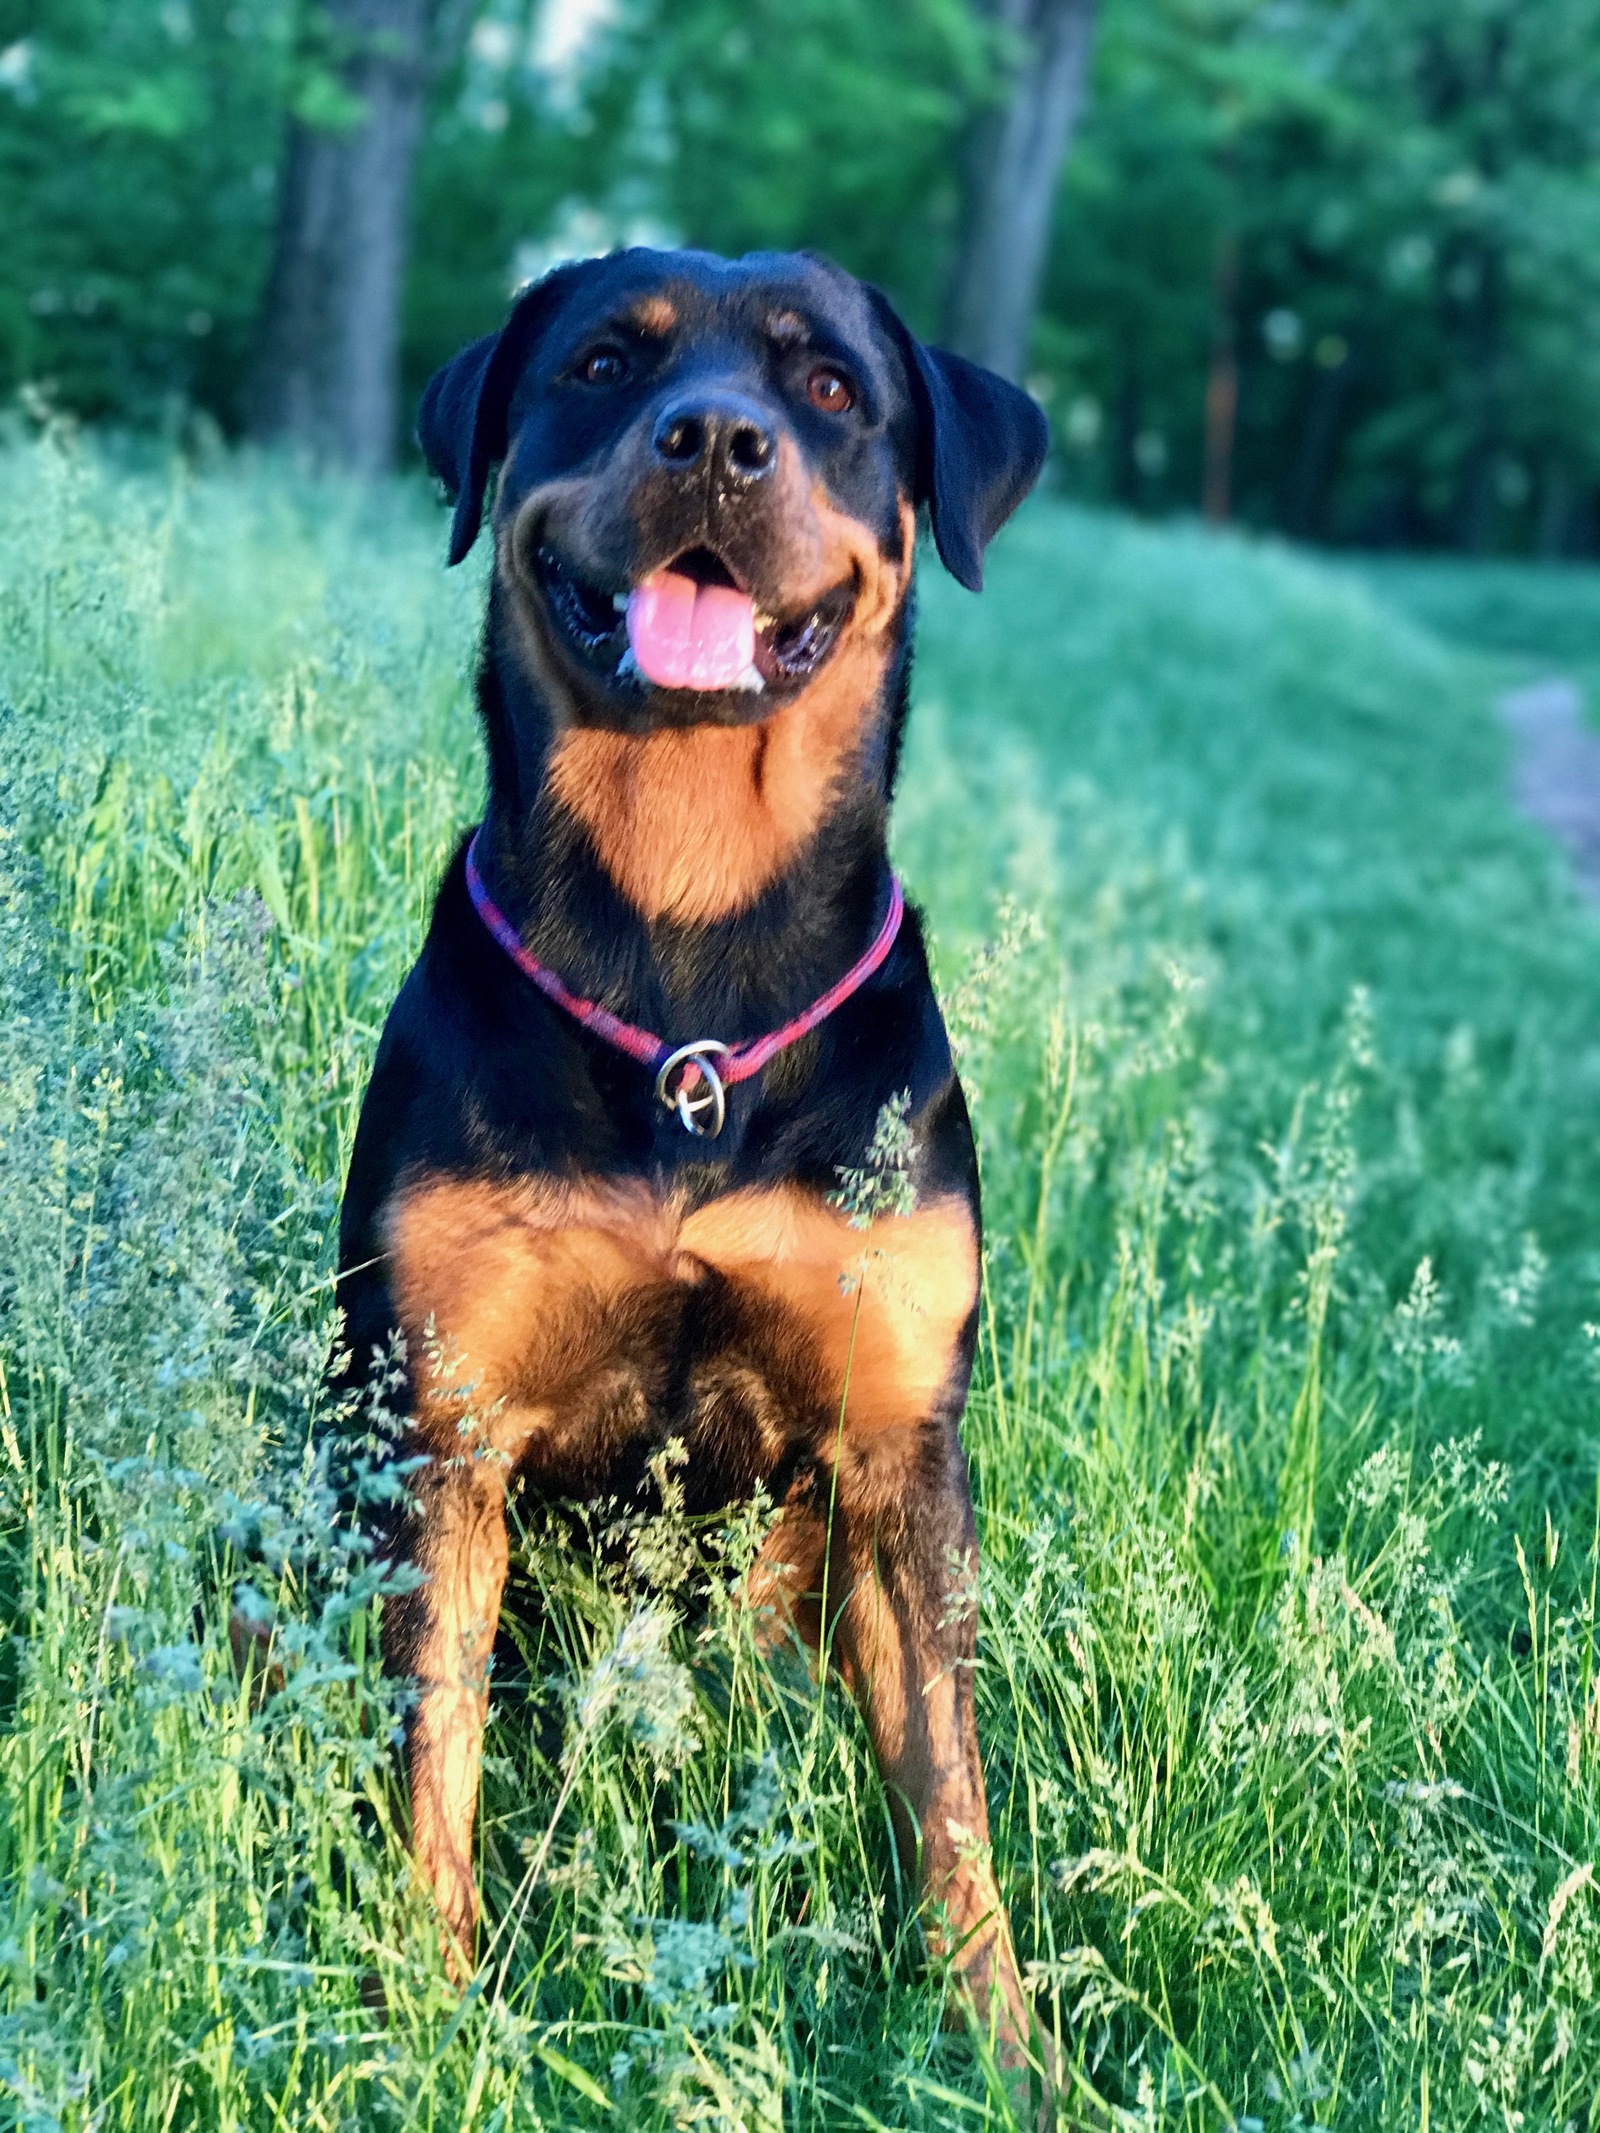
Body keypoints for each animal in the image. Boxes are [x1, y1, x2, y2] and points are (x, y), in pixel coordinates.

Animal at [334, 245, 1053, 2064]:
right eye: (603, 361)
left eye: (831, 387)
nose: (718, 441)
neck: (688, 964)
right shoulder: (441, 1430)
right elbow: (428, 1764)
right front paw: (422, 2010)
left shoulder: (895, 1446)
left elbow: (952, 1797)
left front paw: (1001, 2048)